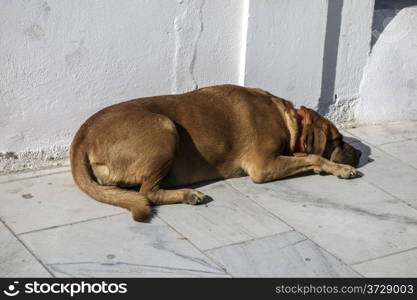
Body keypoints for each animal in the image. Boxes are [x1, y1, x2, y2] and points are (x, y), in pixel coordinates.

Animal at [70, 84, 360, 220]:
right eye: (338, 139)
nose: (358, 154)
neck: (289, 122)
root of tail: (83, 134)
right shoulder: (263, 166)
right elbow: (315, 156)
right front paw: (341, 168)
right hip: (165, 128)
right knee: (147, 193)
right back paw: (188, 194)